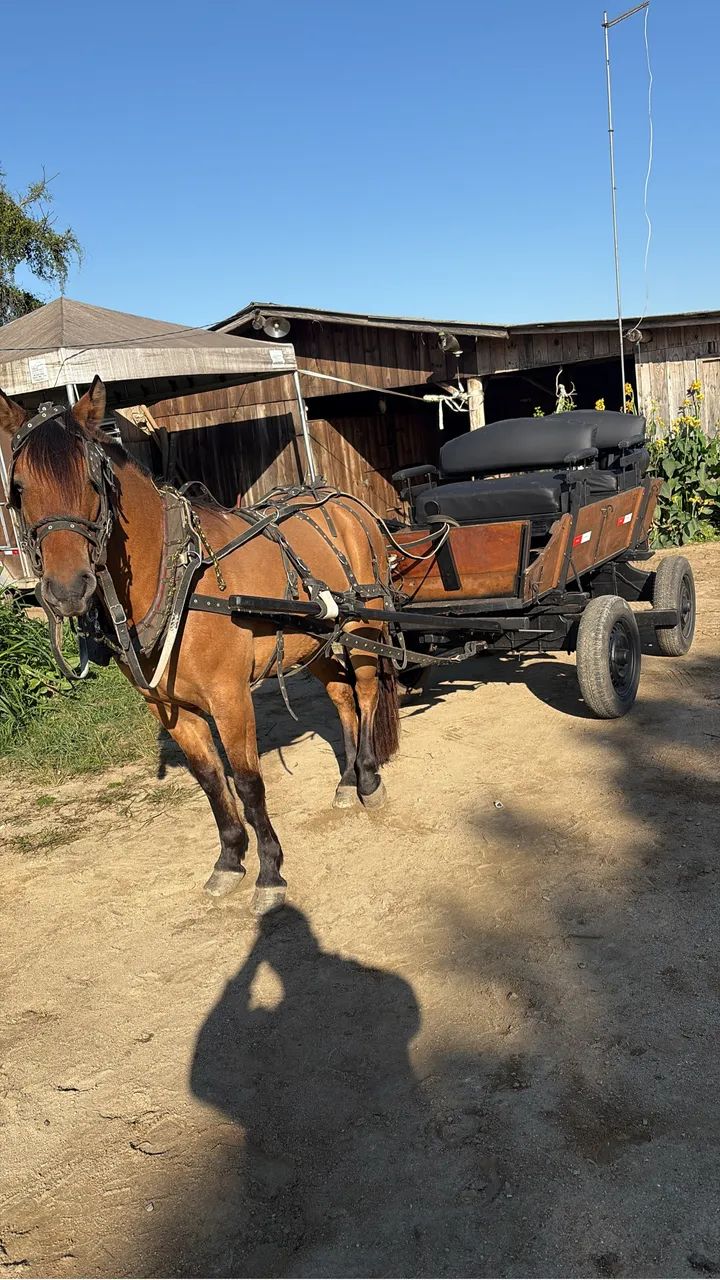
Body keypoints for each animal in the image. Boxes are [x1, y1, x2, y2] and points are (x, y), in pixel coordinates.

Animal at [0, 378, 399, 913]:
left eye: (93, 482)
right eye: (19, 489)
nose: (66, 590)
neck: (179, 576)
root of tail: (344, 503)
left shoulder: (229, 698)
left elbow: (248, 782)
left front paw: (270, 872)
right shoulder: (169, 707)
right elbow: (211, 780)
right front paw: (230, 860)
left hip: (366, 626)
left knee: (366, 689)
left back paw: (370, 779)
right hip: (314, 641)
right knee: (341, 698)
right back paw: (347, 779)